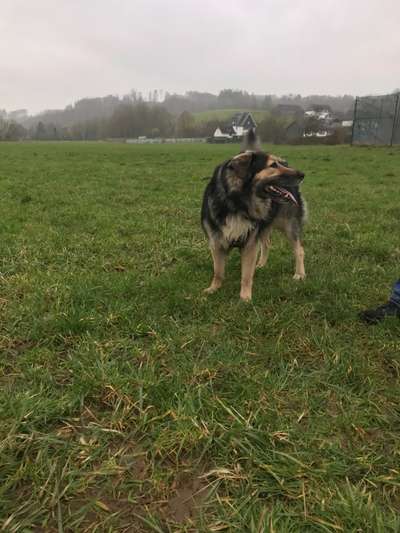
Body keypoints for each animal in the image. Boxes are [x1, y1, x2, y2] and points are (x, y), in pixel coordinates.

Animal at [200, 130, 306, 300]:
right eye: (273, 165)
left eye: (278, 163)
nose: (302, 174)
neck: (237, 203)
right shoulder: (216, 242)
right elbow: (218, 271)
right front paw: (213, 288)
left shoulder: (250, 244)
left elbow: (246, 275)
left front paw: (245, 298)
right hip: (264, 226)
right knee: (267, 243)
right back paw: (261, 264)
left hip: (289, 225)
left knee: (299, 250)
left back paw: (300, 274)